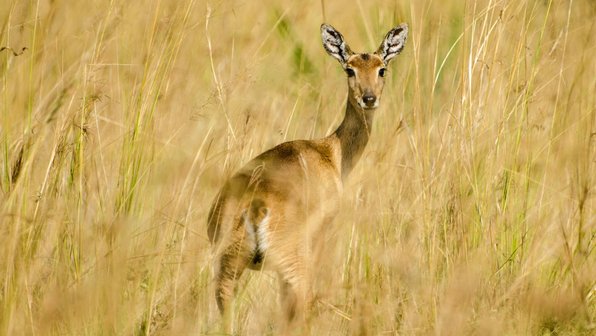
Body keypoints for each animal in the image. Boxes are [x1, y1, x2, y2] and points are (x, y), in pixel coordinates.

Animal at [207, 22, 408, 332]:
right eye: (349, 69)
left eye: (381, 69)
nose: (369, 98)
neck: (330, 152)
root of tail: (254, 207)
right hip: (292, 267)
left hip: (228, 272)